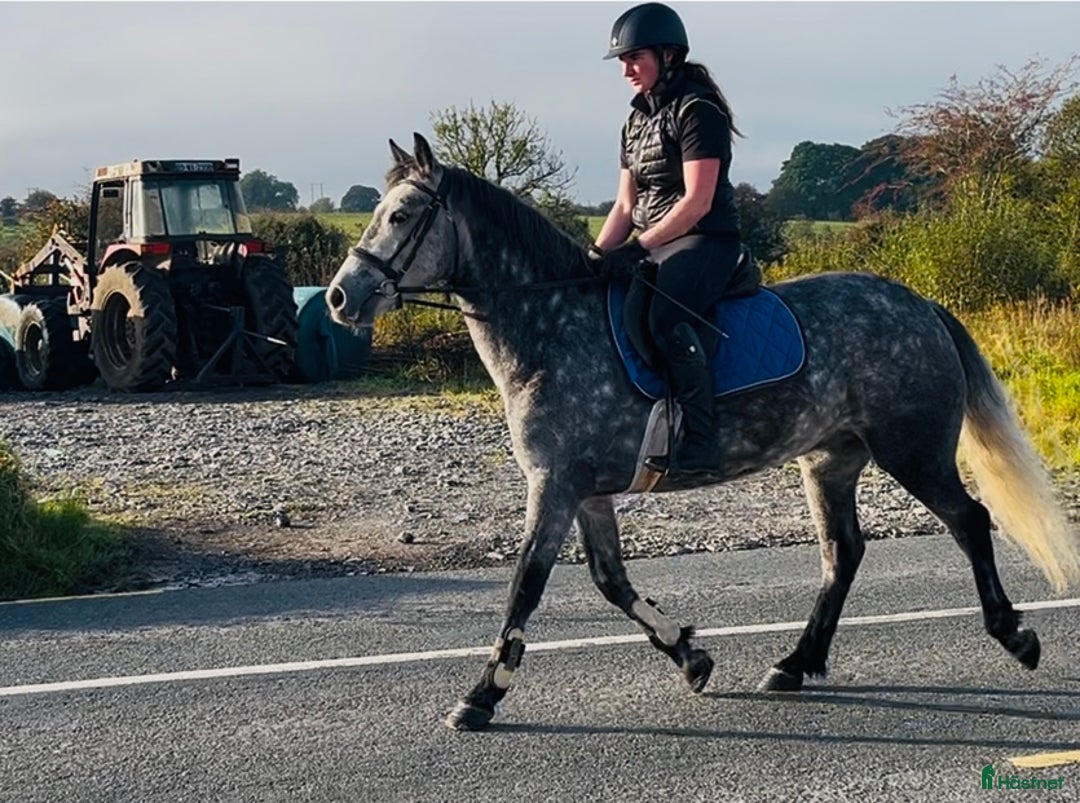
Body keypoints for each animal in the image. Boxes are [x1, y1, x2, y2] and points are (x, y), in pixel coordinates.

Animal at [326, 133, 1080, 732]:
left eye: (402, 215)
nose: (339, 297)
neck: (551, 328)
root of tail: (922, 304)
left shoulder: (555, 484)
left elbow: (526, 586)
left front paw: (482, 695)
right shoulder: (586, 492)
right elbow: (610, 581)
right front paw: (692, 656)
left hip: (914, 450)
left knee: (969, 521)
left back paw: (1015, 636)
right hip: (832, 460)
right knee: (844, 554)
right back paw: (795, 663)